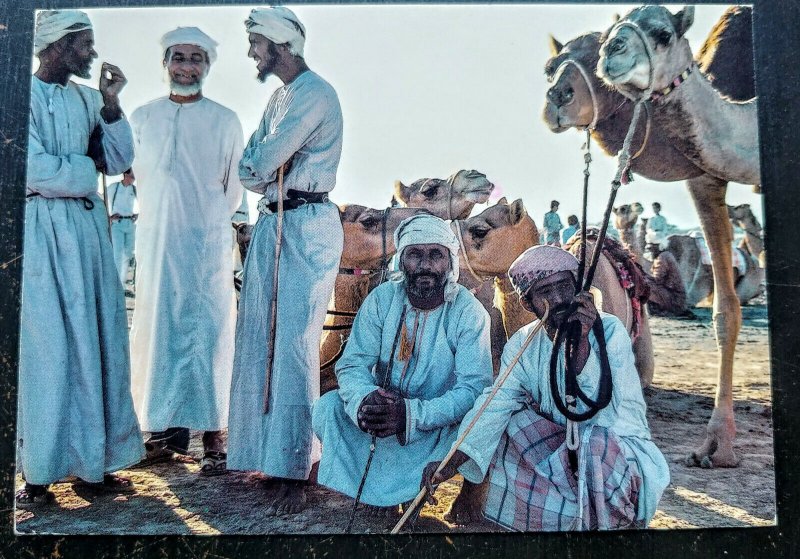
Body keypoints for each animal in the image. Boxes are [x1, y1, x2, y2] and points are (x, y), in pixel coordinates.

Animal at [600, 5, 764, 468]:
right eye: (610, 29)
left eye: (663, 33)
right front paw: (716, 445)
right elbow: (725, 313)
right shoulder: (705, 178)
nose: (610, 51)